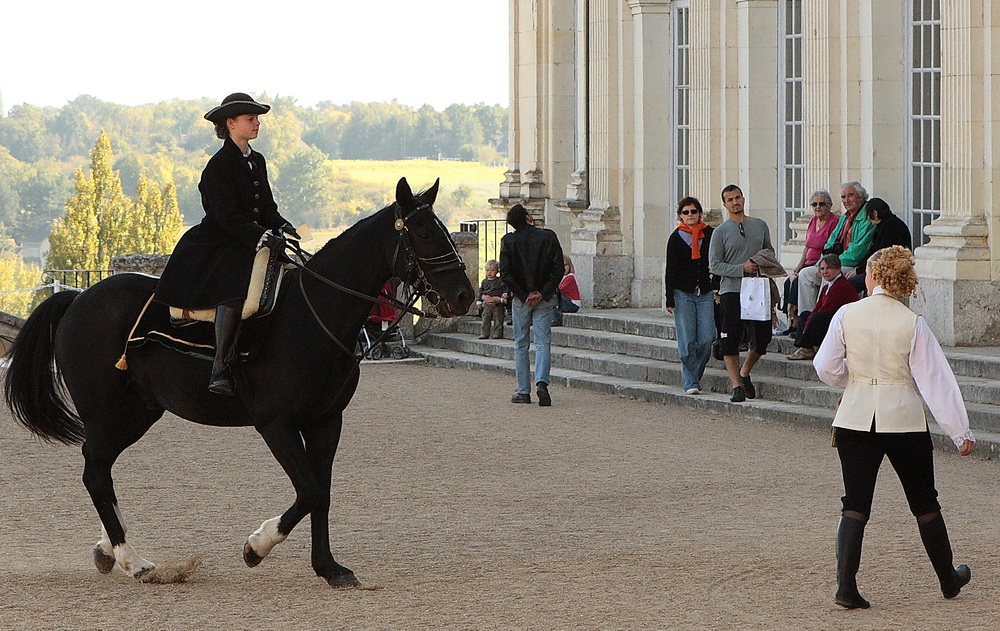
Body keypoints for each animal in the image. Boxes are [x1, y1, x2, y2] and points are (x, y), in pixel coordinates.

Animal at [3, 177, 474, 588]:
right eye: (424, 234)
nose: (465, 296)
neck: (314, 316)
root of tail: (79, 297)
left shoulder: (326, 421)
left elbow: (321, 492)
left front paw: (329, 568)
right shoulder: (275, 423)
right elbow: (308, 490)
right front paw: (257, 547)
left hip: (136, 413)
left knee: (99, 467)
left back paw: (109, 550)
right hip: (106, 411)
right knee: (96, 472)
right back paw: (131, 560)